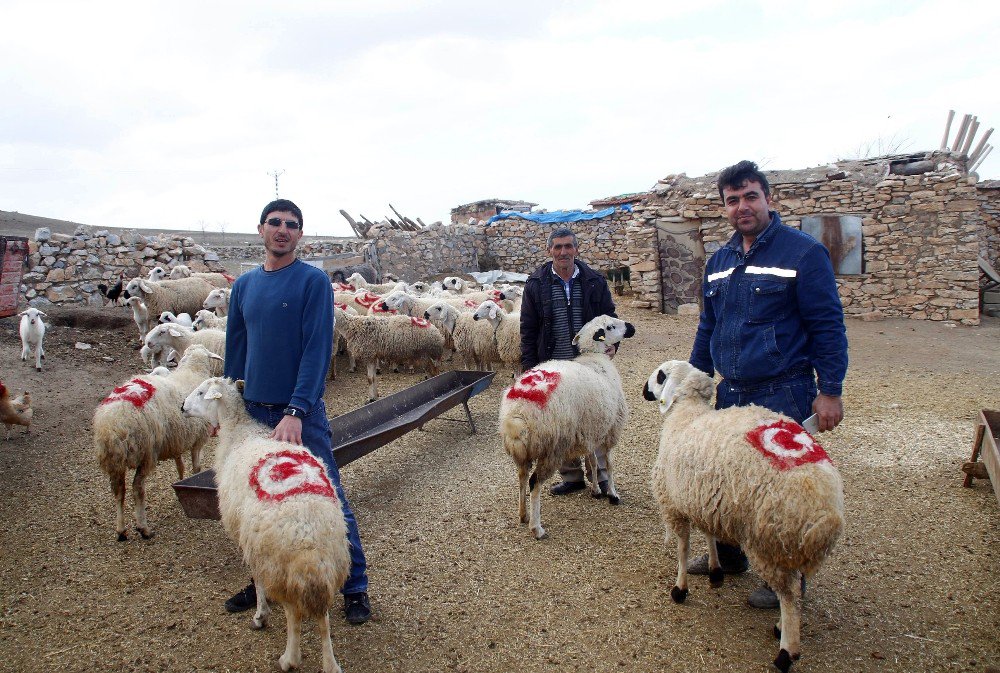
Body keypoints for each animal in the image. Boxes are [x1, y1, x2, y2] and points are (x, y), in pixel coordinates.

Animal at [92, 344, 223, 540]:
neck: (192, 371)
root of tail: (113, 423)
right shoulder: (197, 439)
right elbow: (196, 467)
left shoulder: (177, 441)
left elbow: (180, 466)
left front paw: (180, 485)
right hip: (146, 452)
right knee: (137, 488)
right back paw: (143, 528)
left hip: (115, 461)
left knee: (119, 491)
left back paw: (121, 530)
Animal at [182, 376, 350, 672]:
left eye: (201, 392)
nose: (181, 407)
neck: (241, 431)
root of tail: (307, 532)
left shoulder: (250, 542)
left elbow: (257, 580)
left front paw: (261, 613)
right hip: (328, 562)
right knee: (323, 618)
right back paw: (330, 664)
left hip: (280, 563)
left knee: (294, 614)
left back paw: (289, 658)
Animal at [498, 312, 636, 540]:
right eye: (611, 326)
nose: (632, 327)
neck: (595, 358)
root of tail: (517, 413)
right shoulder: (610, 431)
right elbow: (608, 464)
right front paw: (613, 494)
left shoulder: (591, 429)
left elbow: (593, 462)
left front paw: (596, 490)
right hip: (552, 448)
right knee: (534, 482)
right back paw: (537, 528)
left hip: (523, 452)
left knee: (522, 477)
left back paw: (523, 514)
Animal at [640, 362, 844, 672]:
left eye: (661, 374)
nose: (643, 390)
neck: (687, 413)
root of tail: (824, 508)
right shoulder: (704, 497)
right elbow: (709, 535)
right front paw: (715, 571)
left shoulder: (675, 503)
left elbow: (683, 548)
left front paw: (680, 589)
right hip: (785, 543)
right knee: (796, 592)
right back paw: (782, 629)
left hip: (766, 540)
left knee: (789, 595)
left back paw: (786, 651)